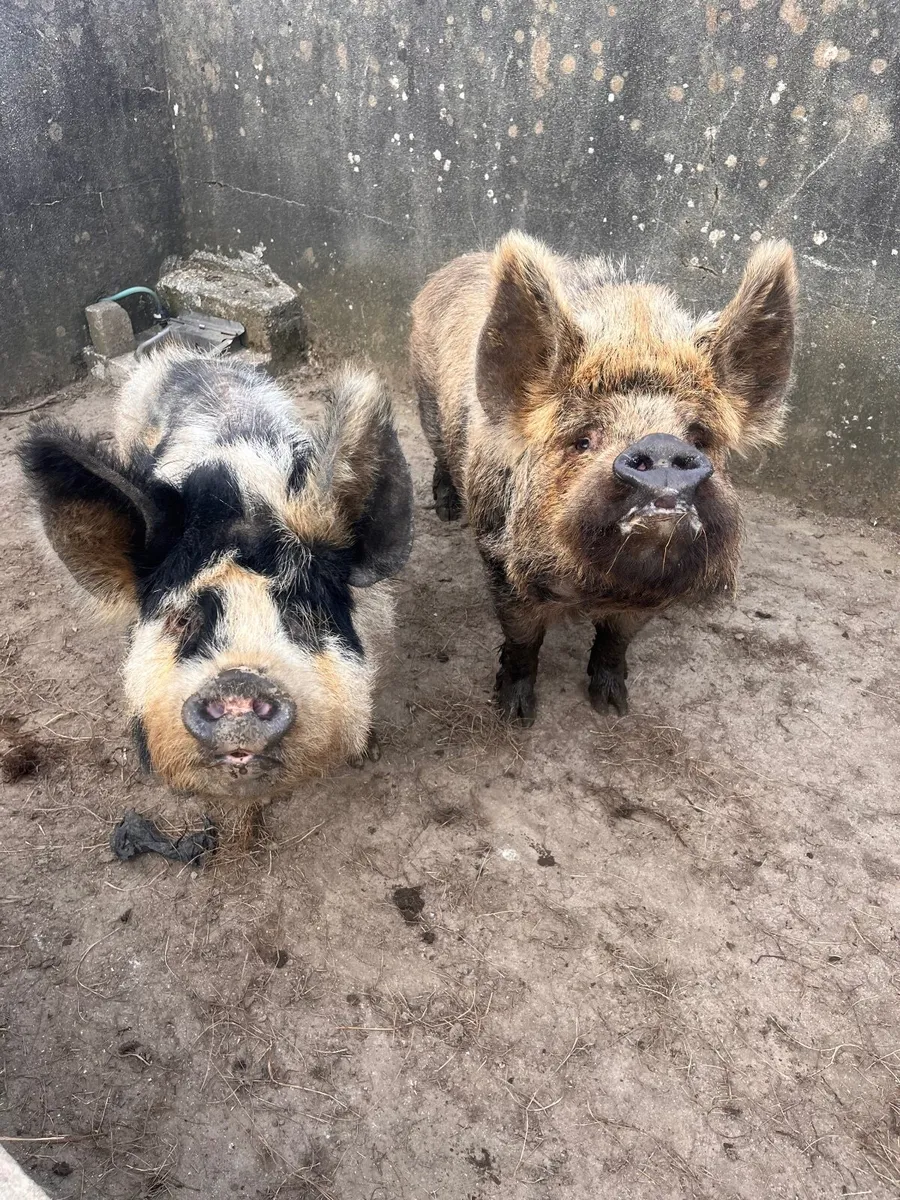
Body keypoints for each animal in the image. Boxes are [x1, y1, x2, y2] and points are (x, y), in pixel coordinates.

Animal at [410, 232, 796, 725]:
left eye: (700, 437)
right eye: (583, 439)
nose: (663, 445)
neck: (597, 587)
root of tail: (451, 266)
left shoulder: (650, 592)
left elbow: (617, 638)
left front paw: (612, 708)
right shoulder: (499, 557)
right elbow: (522, 639)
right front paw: (516, 717)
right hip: (426, 396)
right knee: (439, 451)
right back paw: (446, 509)